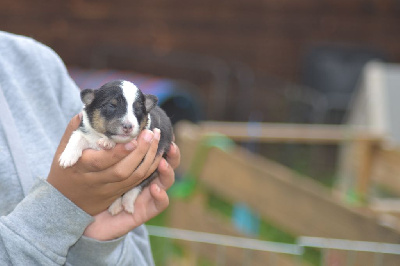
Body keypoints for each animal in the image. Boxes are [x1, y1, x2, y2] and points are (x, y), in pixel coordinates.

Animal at [59, 80, 173, 215]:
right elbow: (76, 137)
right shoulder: (85, 130)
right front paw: (67, 158)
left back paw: (127, 204)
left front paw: (107, 143)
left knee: (136, 187)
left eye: (138, 109)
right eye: (112, 105)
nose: (128, 126)